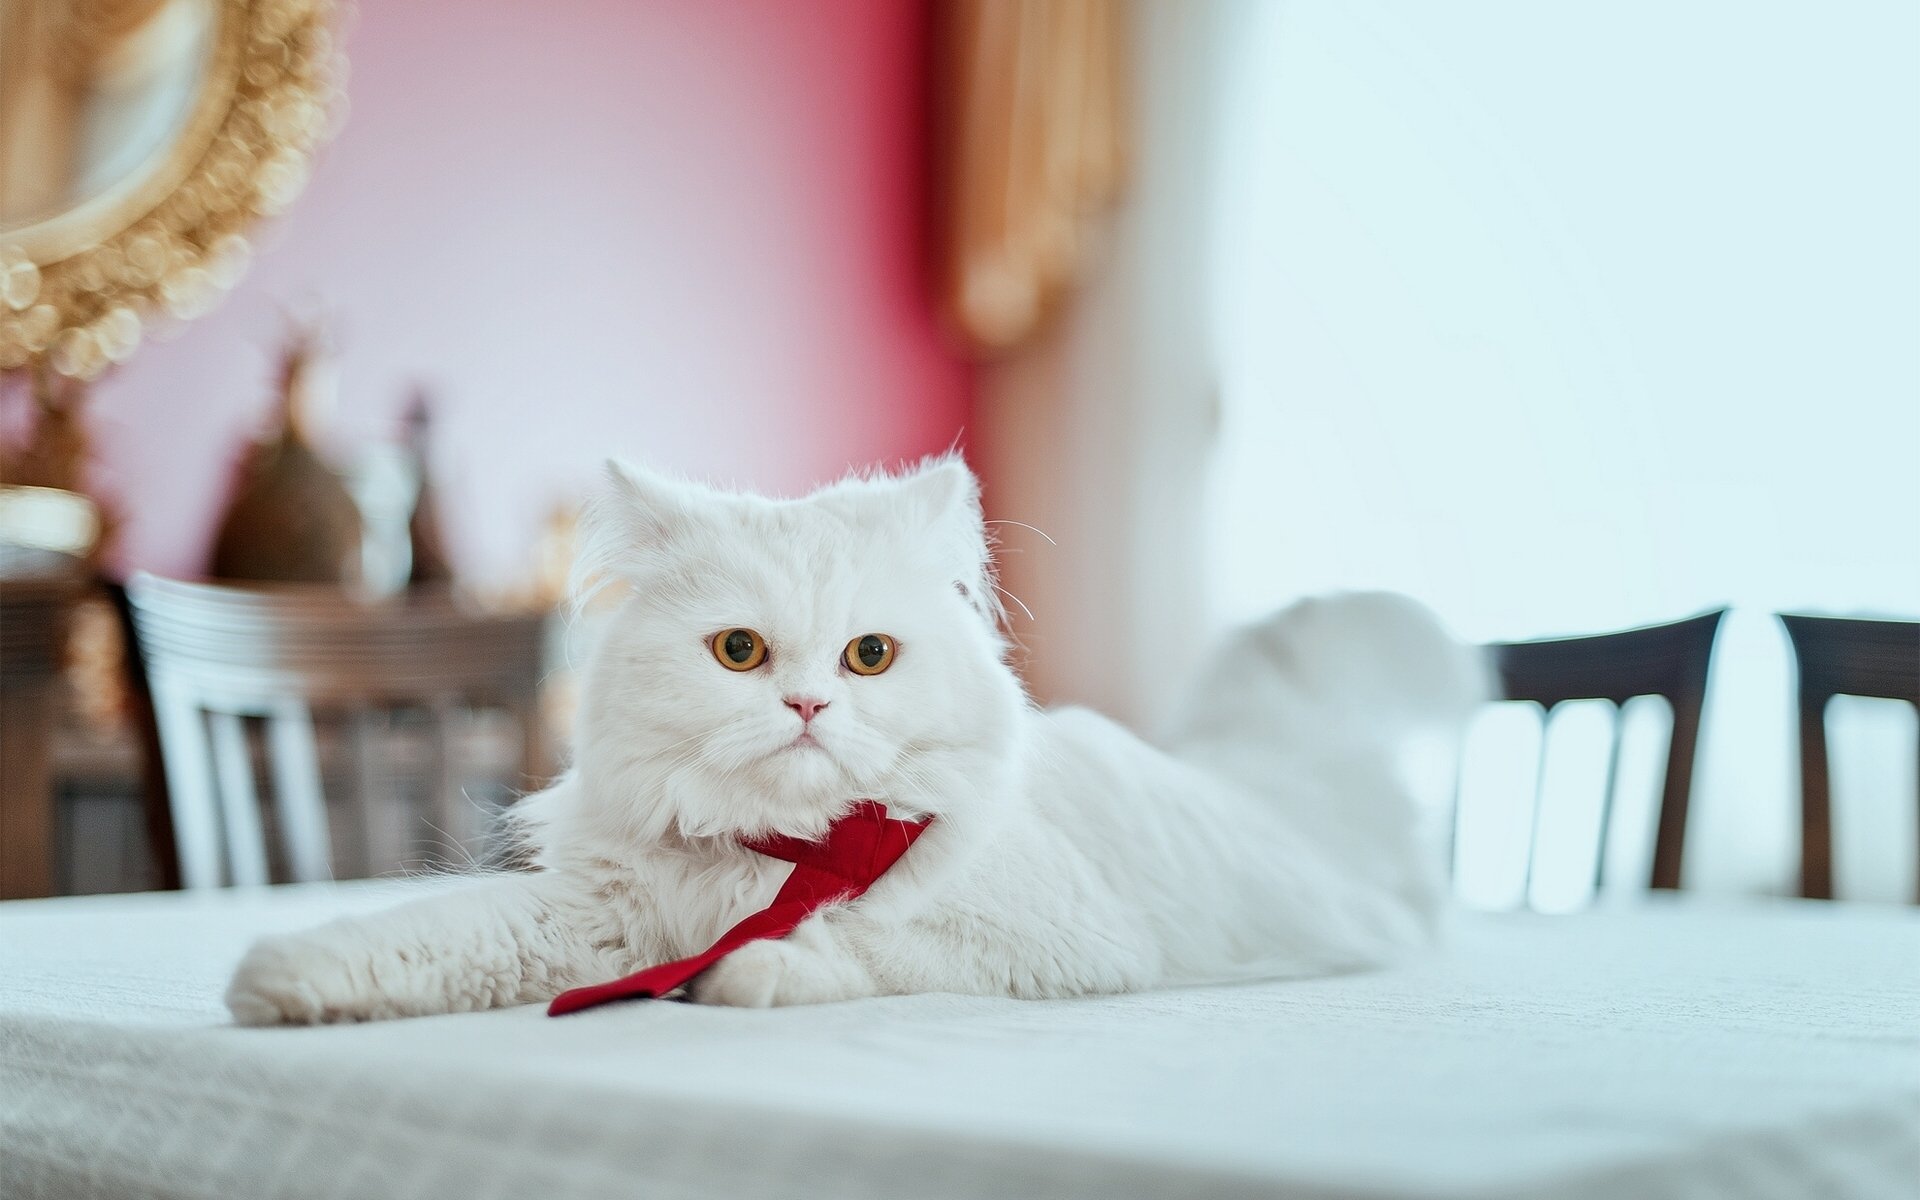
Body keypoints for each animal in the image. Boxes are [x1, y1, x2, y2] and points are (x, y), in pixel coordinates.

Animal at [220, 458, 1482, 1021]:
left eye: (869, 657)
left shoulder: (1062, 948)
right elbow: (422, 938)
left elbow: (861, 953)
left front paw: (743, 973)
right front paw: (275, 982)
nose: (809, 708)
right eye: (740, 653)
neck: (782, 850)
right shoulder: (593, 921)